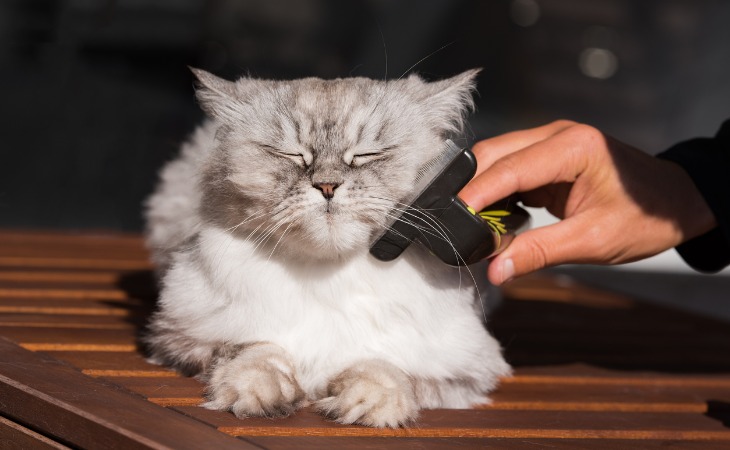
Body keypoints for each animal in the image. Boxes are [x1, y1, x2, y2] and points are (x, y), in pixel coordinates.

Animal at [141, 67, 506, 428]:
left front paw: (367, 405)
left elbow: (386, 369)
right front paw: (263, 395)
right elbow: (256, 352)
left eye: (366, 154)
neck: (329, 279)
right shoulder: (179, 338)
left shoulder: (463, 372)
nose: (327, 186)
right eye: (292, 154)